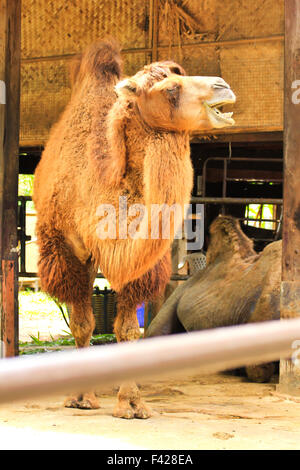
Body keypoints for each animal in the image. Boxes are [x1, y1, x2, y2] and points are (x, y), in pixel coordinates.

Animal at [34, 37, 237, 418]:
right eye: (171, 88)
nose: (224, 86)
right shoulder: (69, 251)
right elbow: (82, 324)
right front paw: (80, 397)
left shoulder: (140, 265)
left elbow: (129, 330)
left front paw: (131, 403)